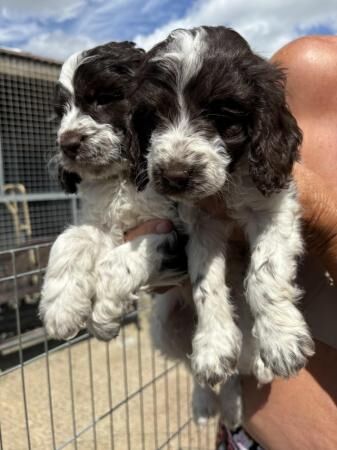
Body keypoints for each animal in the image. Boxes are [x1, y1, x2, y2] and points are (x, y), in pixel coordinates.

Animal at [40, 42, 189, 342]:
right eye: (61, 113)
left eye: (104, 99)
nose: (67, 144)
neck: (124, 178)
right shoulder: (105, 224)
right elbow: (71, 238)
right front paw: (60, 308)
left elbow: (121, 260)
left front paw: (102, 316)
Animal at [127, 26, 314, 428]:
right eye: (154, 118)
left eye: (221, 116)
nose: (174, 176)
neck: (227, 187)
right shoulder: (201, 222)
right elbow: (205, 284)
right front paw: (213, 346)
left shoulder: (274, 206)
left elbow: (264, 275)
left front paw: (281, 340)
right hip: (165, 323)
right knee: (197, 367)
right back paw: (208, 401)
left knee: (241, 365)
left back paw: (253, 368)